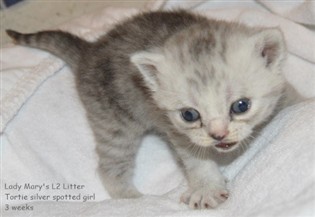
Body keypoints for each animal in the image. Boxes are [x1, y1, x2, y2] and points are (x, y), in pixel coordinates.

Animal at [6, 9, 298, 209]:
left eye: (241, 106)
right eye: (190, 115)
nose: (218, 135)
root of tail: (90, 50)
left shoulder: (281, 92)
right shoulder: (178, 132)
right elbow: (196, 159)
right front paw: (207, 187)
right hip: (113, 123)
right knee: (109, 167)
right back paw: (133, 201)